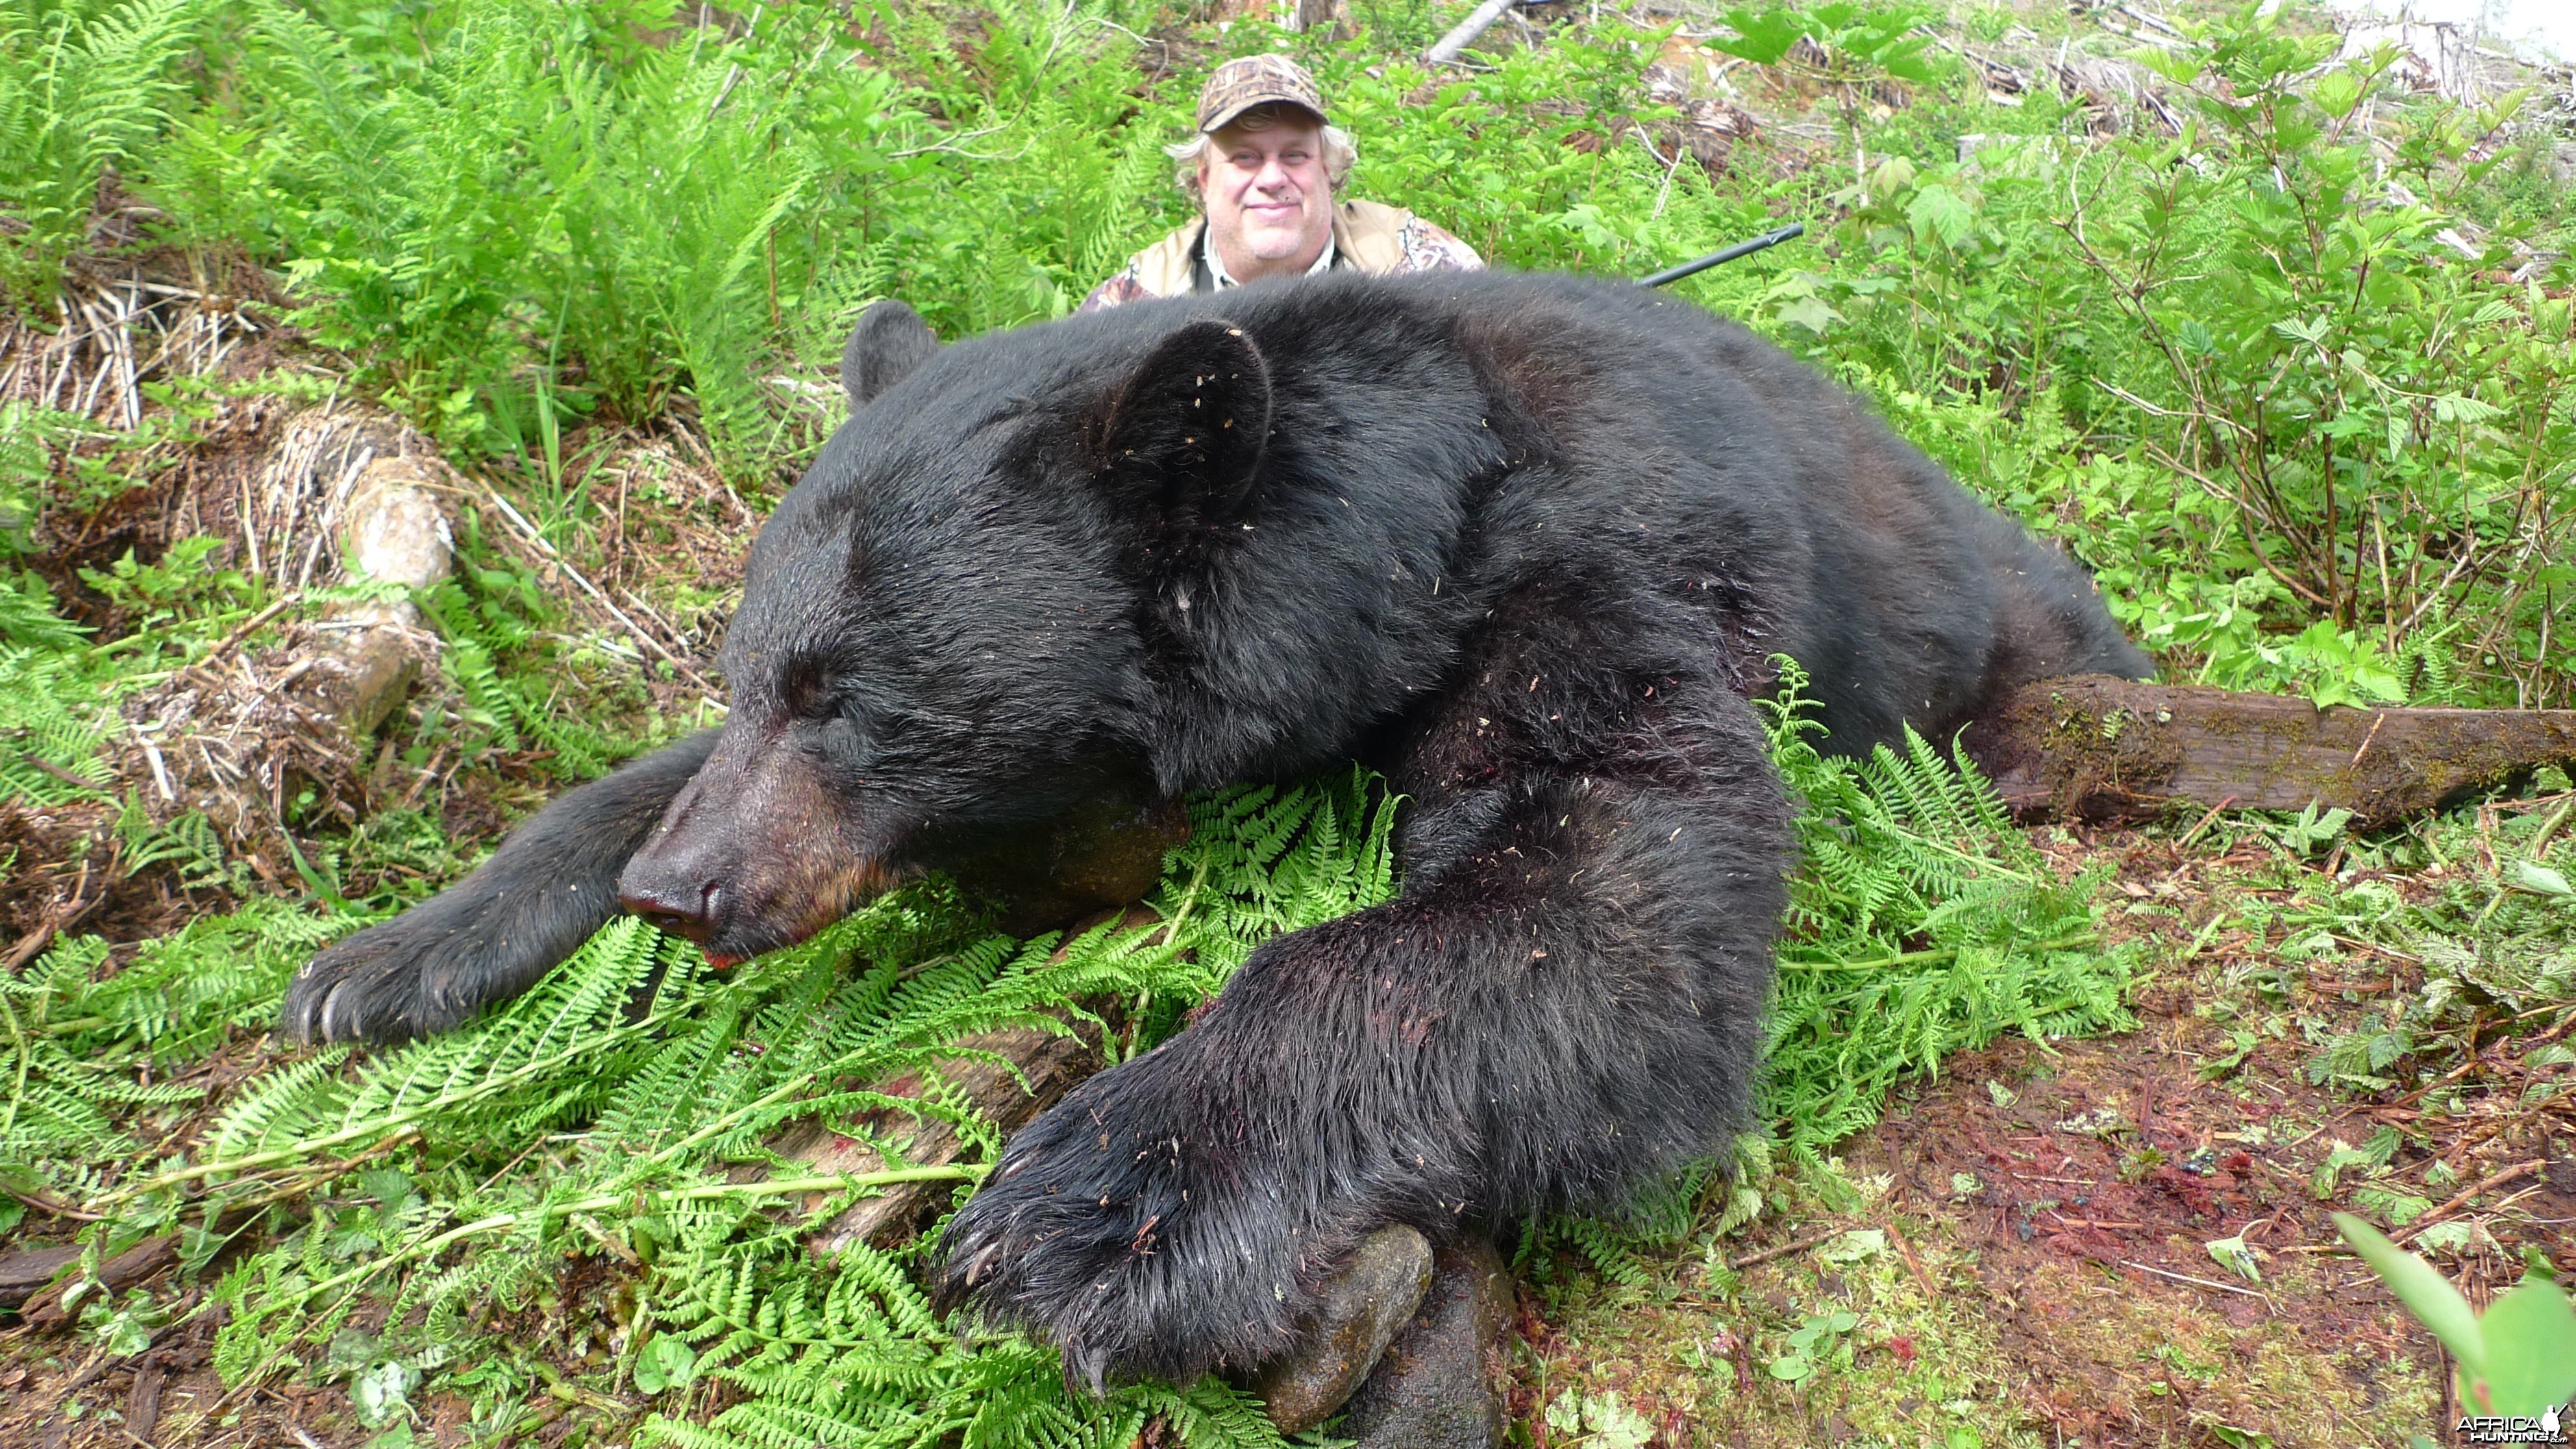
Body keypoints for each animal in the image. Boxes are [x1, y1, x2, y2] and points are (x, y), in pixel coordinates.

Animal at [277, 271, 2153, 1392]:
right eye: (753, 673)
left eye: (845, 696)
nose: (680, 893)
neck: (1421, 510)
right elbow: (622, 780)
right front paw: (389, 955)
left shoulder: (1600, 569)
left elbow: (1603, 882)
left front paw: (1091, 1204)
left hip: (2017, 630)